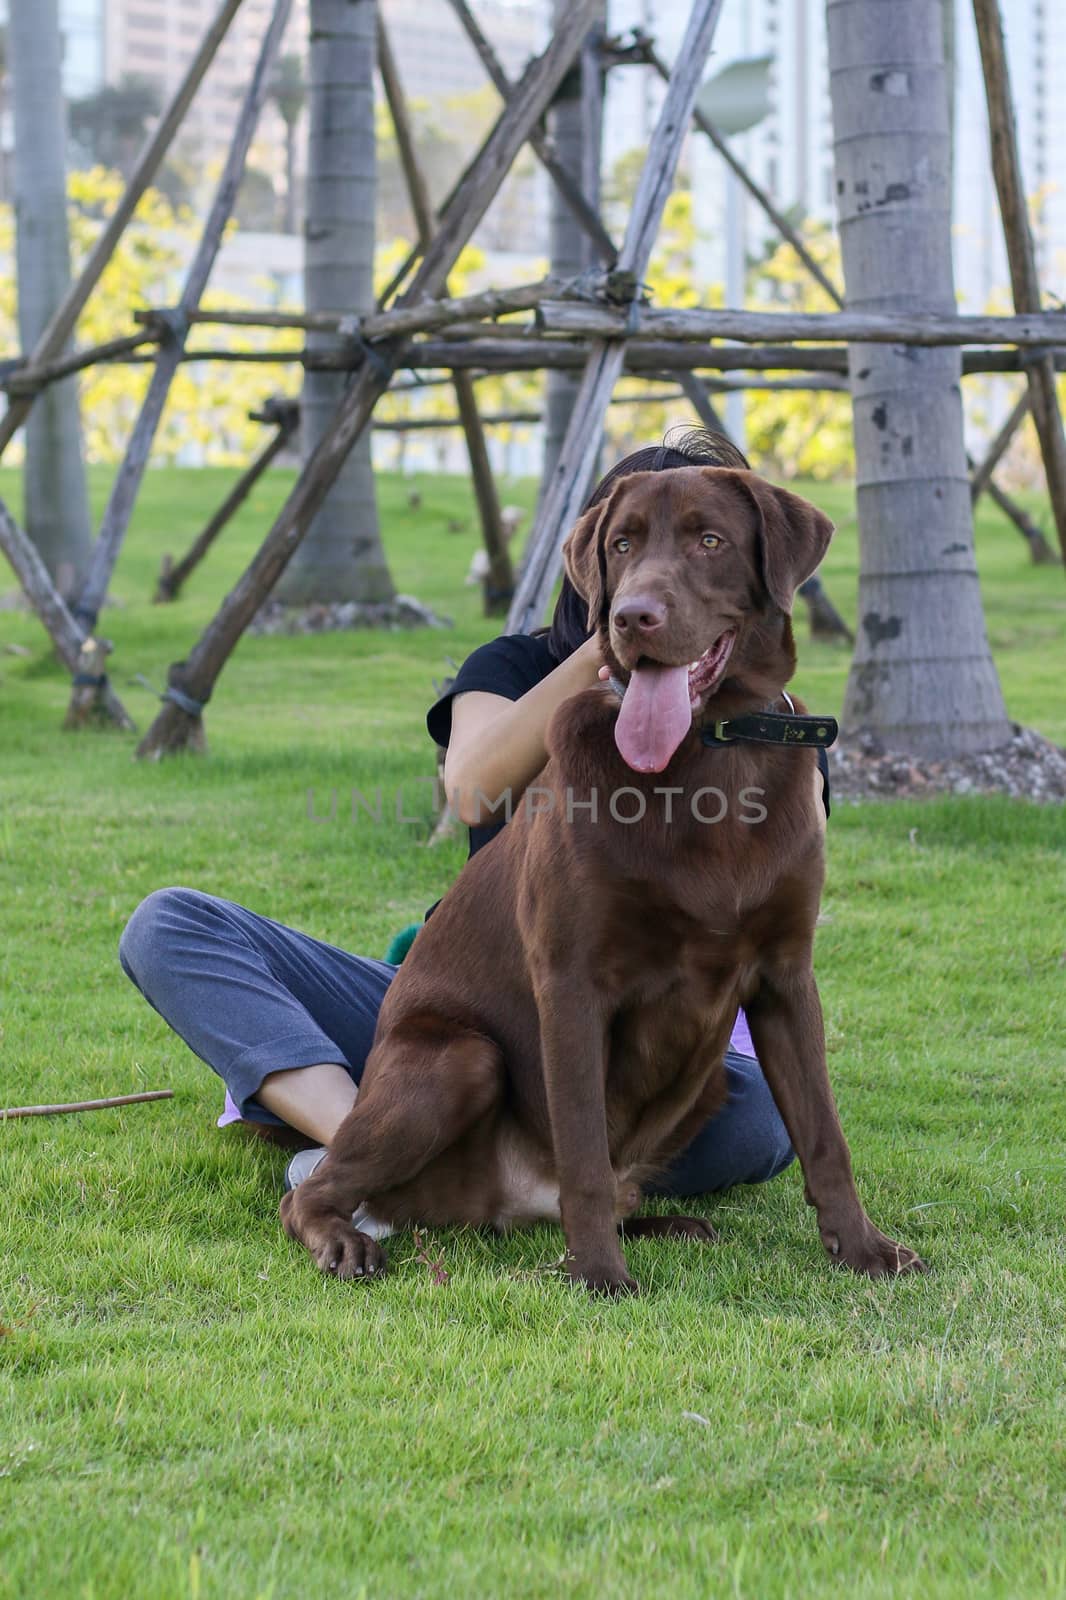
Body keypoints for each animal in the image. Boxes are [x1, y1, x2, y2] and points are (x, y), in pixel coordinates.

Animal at [280, 467, 921, 1292]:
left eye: (709, 539)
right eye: (621, 544)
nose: (632, 616)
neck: (709, 758)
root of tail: (497, 1206)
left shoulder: (786, 975)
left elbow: (825, 1135)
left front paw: (865, 1249)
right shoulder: (572, 979)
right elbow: (582, 1143)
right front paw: (596, 1273)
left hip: (706, 1082)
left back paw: (669, 1225)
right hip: (458, 1057)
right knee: (317, 1189)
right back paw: (345, 1239)